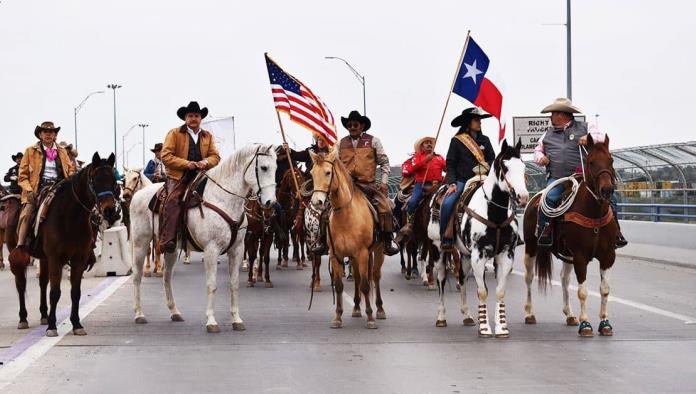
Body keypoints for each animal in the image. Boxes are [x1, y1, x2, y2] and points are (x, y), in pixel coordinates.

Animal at [8, 152, 118, 338]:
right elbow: (55, 292)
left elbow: (75, 292)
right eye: (95, 180)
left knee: (42, 282)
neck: (70, 217)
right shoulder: (55, 258)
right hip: (18, 254)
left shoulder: (79, 259)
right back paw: (23, 318)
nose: (110, 210)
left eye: (114, 181)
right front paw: (52, 326)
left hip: (44, 258)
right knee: (21, 284)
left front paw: (76, 324)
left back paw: (44, 315)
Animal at [129, 145, 276, 332]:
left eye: (276, 168)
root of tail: (137, 195)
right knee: (137, 276)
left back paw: (174, 311)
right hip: (140, 243)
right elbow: (211, 285)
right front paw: (211, 321)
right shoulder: (211, 250)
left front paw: (236, 319)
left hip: (171, 249)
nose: (271, 203)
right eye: (263, 168)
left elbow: (234, 284)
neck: (223, 200)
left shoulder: (237, 249)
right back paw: (139, 314)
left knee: (167, 277)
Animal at [310, 149, 386, 328]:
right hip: (352, 256)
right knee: (357, 277)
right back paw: (357, 307)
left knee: (375, 276)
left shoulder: (363, 253)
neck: (346, 214)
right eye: (312, 173)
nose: (317, 202)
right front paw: (337, 317)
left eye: (328, 172)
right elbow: (339, 285)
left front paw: (370, 318)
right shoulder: (335, 255)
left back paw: (379, 309)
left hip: (377, 251)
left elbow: (366, 285)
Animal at [426, 140, 532, 338]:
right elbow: (482, 291)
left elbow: (499, 291)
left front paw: (501, 327)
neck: (494, 214)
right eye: (505, 167)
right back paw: (441, 317)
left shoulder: (505, 254)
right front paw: (484, 327)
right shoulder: (479, 255)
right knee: (441, 280)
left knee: (461, 279)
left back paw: (467, 316)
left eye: (523, 166)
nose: (522, 198)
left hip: (465, 255)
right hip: (439, 250)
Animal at [520, 135, 620, 336]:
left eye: (611, 160)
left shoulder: (608, 256)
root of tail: (535, 198)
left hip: (566, 255)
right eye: (591, 162)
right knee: (529, 276)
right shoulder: (581, 257)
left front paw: (605, 323)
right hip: (531, 247)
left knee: (564, 279)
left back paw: (570, 315)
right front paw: (586, 324)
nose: (607, 190)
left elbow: (604, 289)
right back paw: (530, 314)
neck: (595, 215)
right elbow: (582, 291)